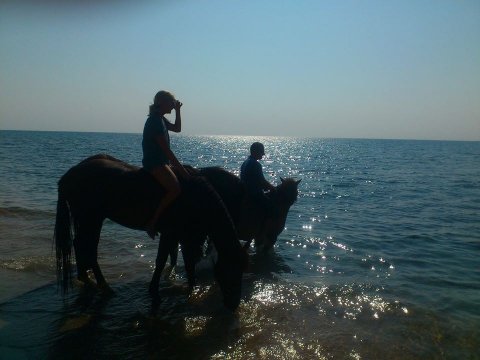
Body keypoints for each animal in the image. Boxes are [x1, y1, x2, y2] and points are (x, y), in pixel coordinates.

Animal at [54, 154, 248, 310]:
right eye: (228, 269)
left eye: (241, 270)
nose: (233, 305)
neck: (195, 198)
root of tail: (70, 174)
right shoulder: (171, 234)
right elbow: (162, 261)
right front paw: (154, 290)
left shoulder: (187, 237)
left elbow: (188, 262)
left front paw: (191, 288)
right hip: (92, 219)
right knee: (88, 247)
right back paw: (103, 285)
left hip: (89, 219)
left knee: (81, 244)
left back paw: (85, 278)